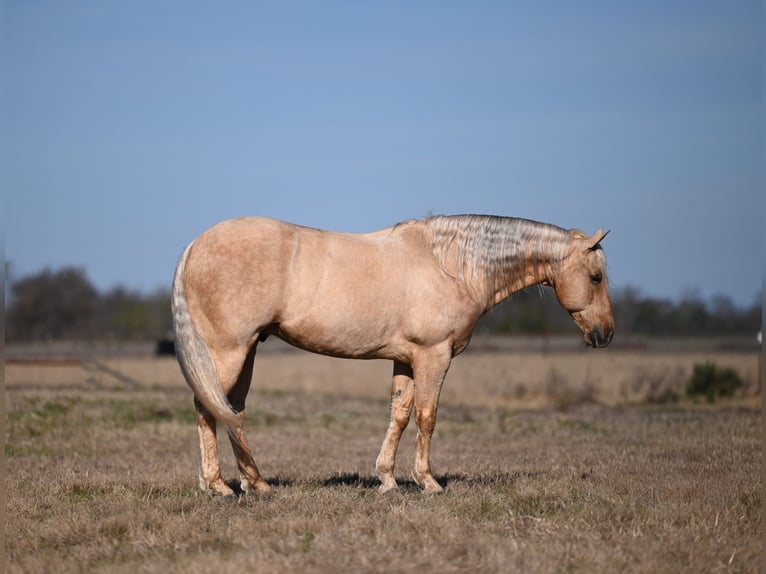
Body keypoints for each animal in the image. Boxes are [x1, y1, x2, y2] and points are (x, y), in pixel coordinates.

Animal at [171, 214, 614, 496]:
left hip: (245, 352)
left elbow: (399, 415)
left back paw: (255, 483)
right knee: (207, 406)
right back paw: (218, 485)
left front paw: (387, 479)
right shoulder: (434, 356)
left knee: (231, 409)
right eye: (596, 277)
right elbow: (426, 416)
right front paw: (428, 482)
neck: (449, 266)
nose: (605, 333)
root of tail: (195, 245)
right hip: (228, 351)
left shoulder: (405, 359)